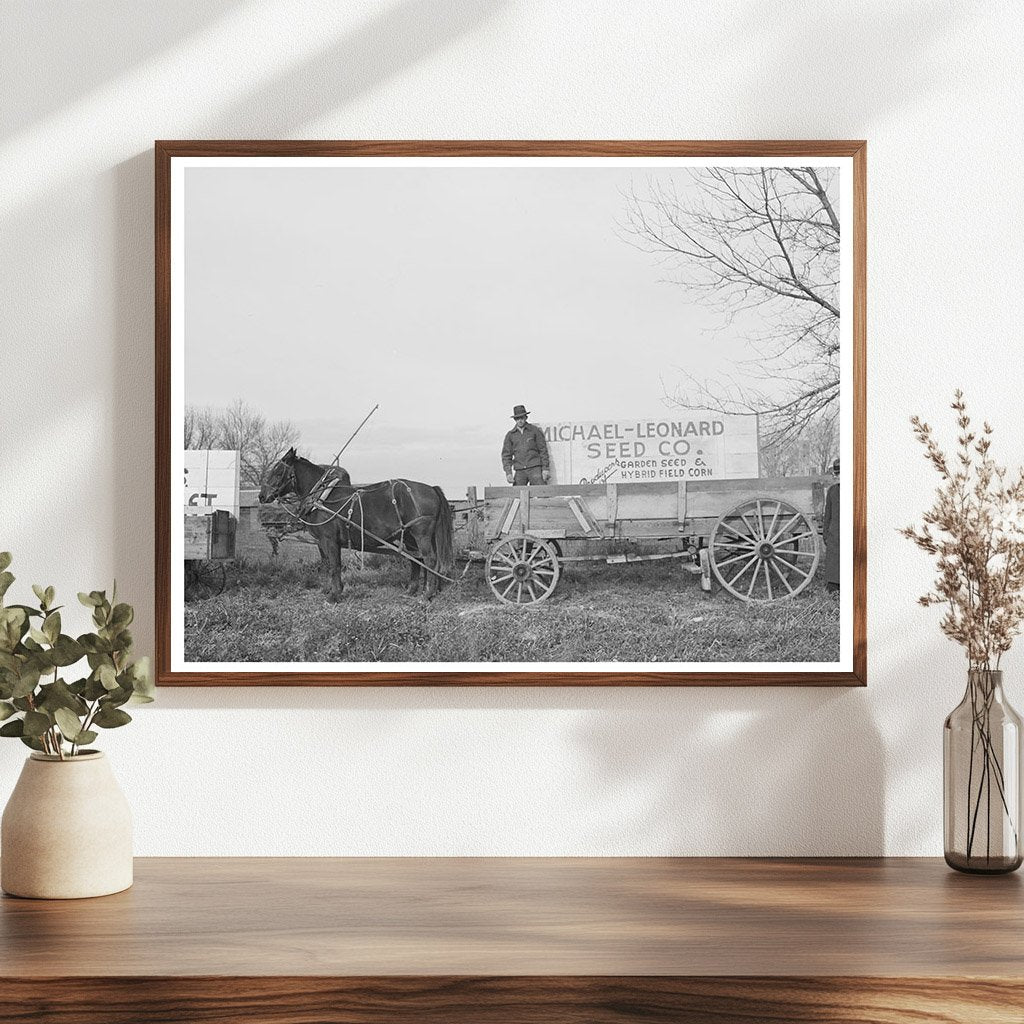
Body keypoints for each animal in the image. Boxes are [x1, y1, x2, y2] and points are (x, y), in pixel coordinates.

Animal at [260, 448, 456, 598]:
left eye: (278, 471)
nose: (262, 496)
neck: (322, 496)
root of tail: (432, 489)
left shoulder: (329, 540)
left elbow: (334, 566)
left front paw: (334, 595)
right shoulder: (327, 542)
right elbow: (331, 565)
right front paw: (334, 590)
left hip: (420, 535)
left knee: (429, 559)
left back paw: (427, 594)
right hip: (409, 536)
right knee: (417, 560)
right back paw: (415, 590)